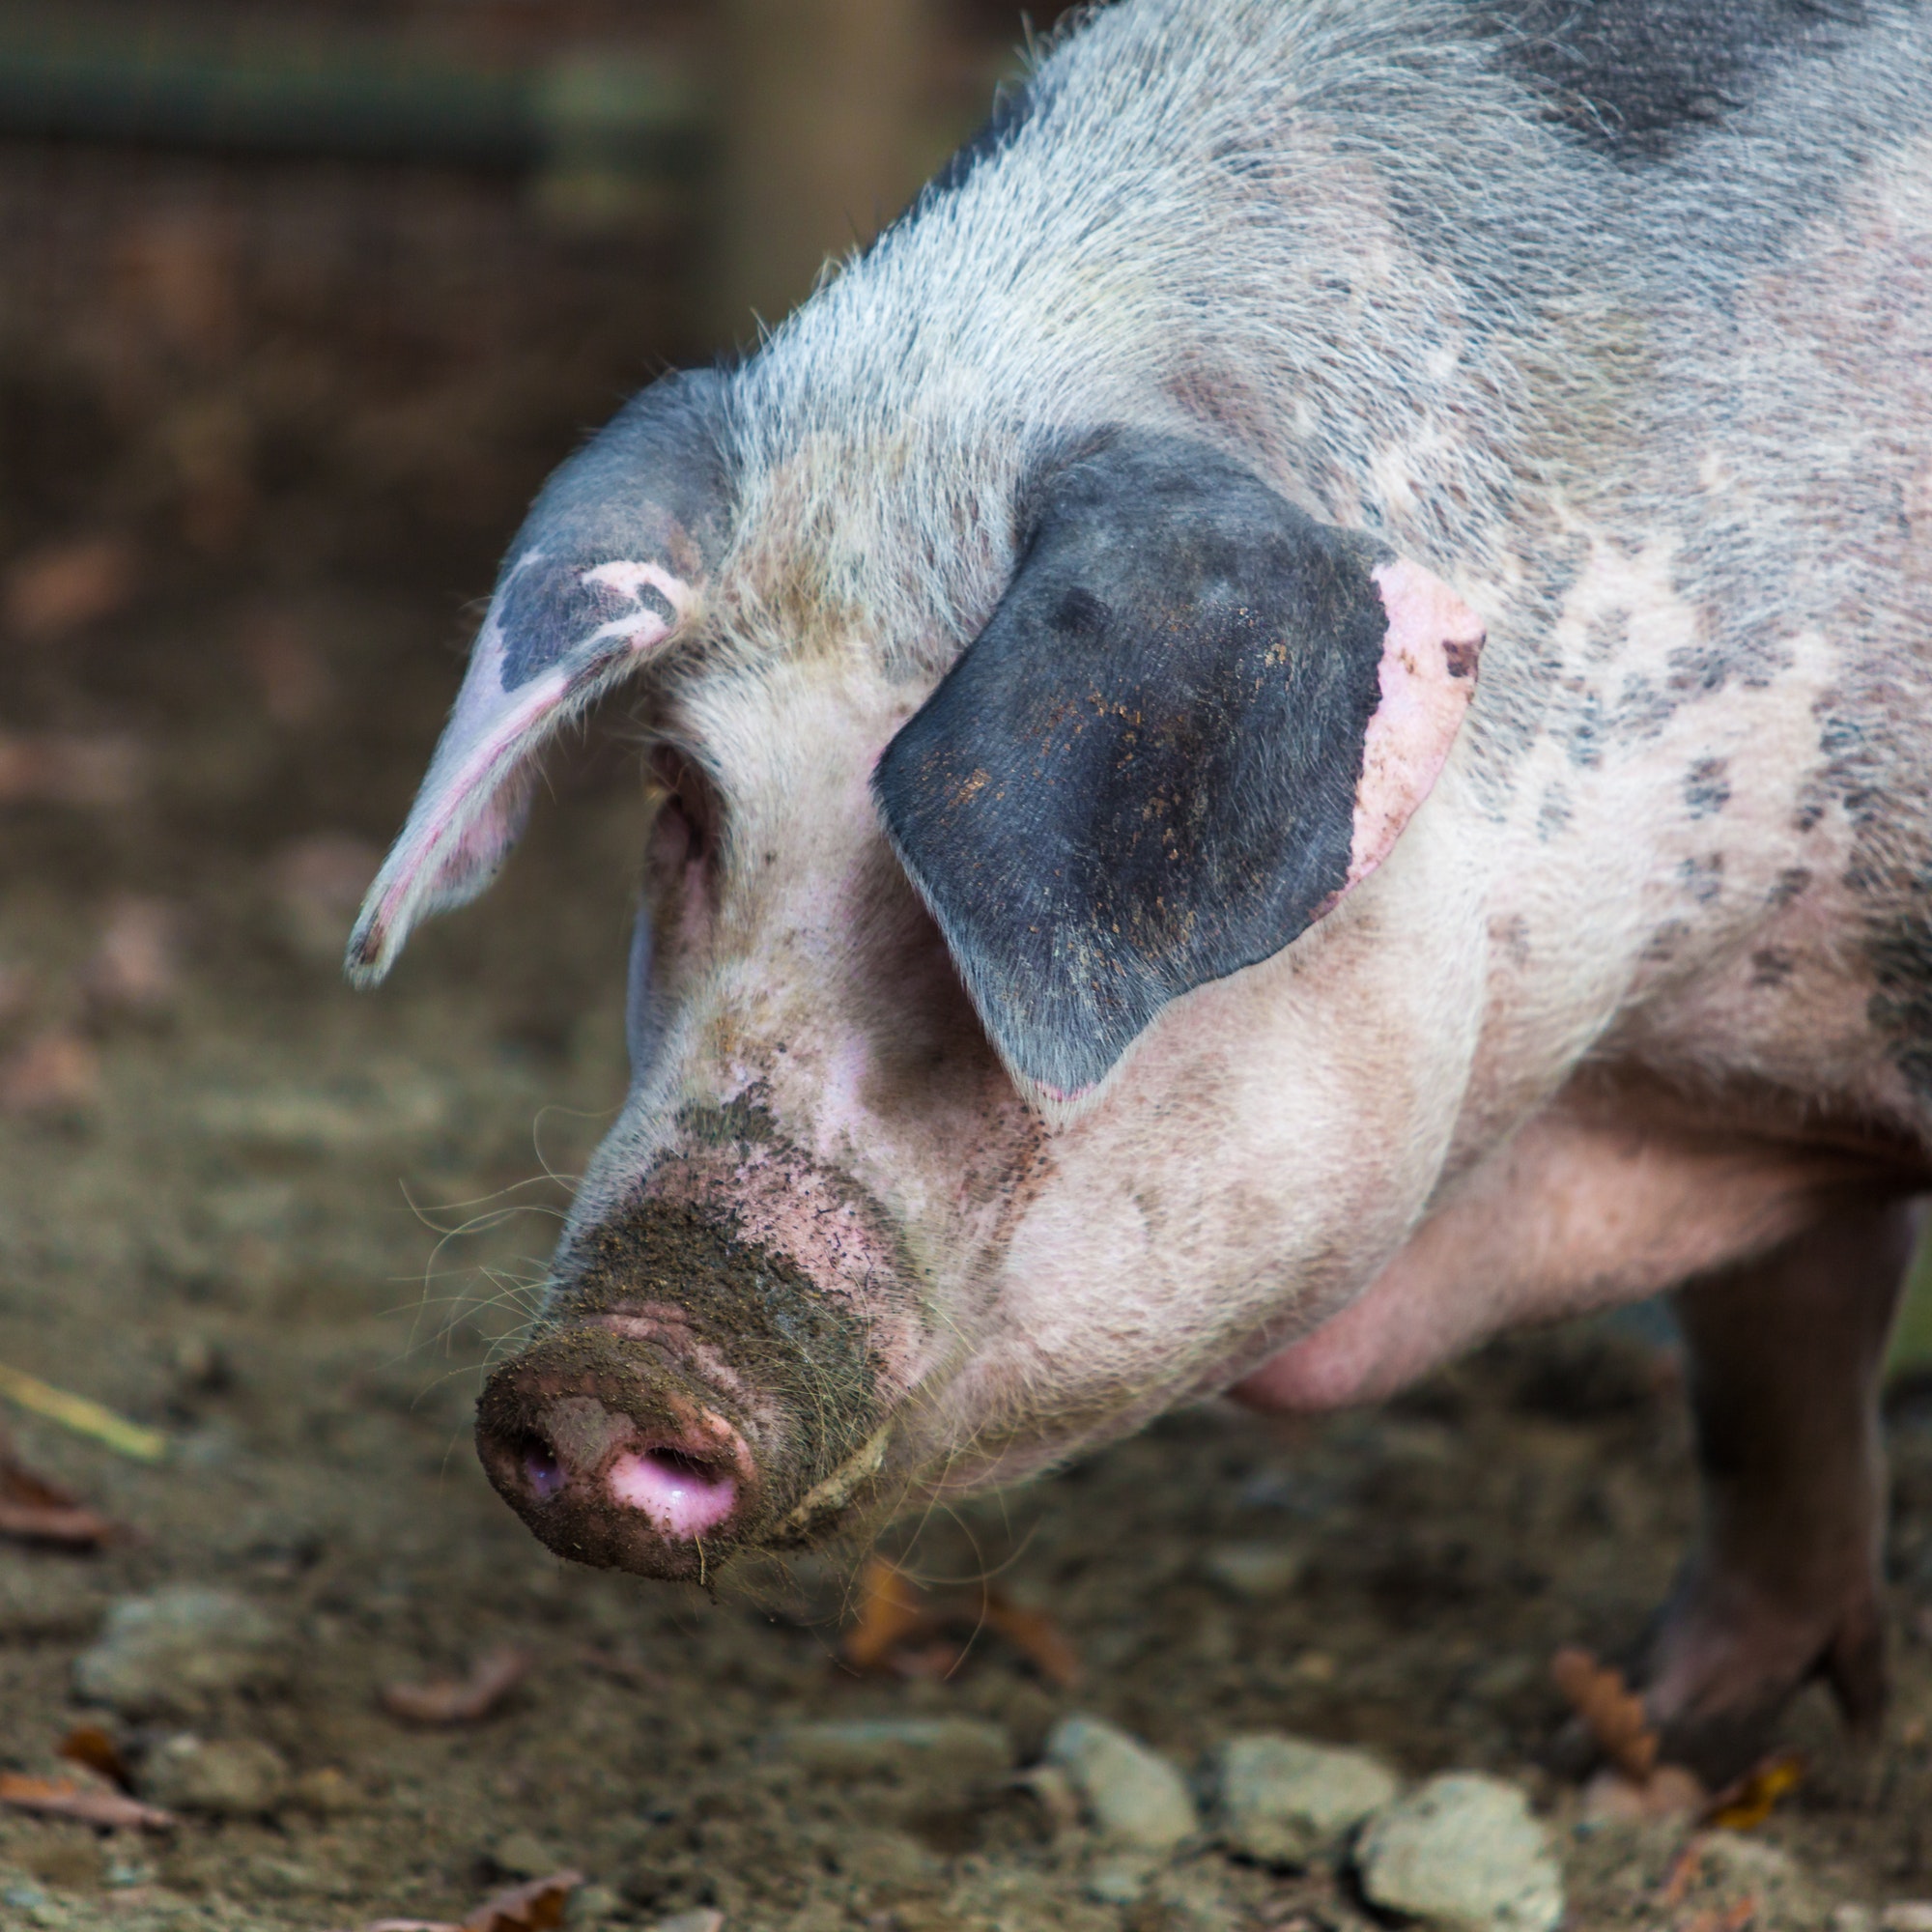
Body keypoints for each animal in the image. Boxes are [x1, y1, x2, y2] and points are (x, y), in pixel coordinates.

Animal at [347, 0, 1932, 1780]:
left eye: (950, 881)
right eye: (686, 799)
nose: (601, 1372)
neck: (1658, 1069)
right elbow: (1775, 1375)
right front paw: (1650, 1747)